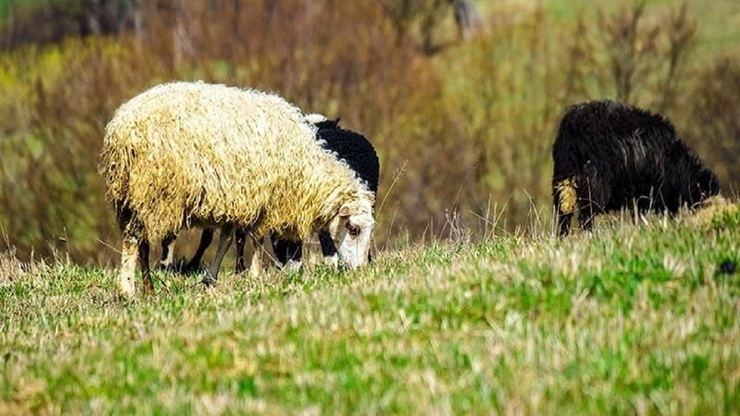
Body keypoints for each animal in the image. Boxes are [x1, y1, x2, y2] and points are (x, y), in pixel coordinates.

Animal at [99, 80, 376, 296]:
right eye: (353, 229)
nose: (360, 272)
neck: (306, 170)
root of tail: (121, 128)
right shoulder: (263, 200)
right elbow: (256, 239)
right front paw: (254, 274)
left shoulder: (237, 200)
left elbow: (226, 240)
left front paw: (211, 278)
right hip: (153, 191)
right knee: (134, 239)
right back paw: (127, 291)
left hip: (130, 195)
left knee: (142, 243)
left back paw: (149, 289)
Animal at [552, 100, 720, 236]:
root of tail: (573, 125)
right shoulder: (644, 194)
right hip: (593, 183)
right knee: (586, 215)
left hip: (562, 181)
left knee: (563, 215)